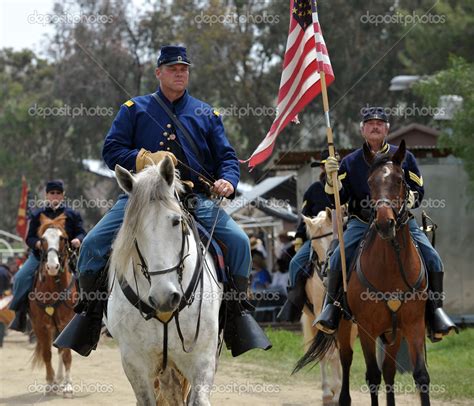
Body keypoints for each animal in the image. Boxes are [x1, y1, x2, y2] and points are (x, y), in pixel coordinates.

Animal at [28, 214, 77, 398]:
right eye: (42, 239)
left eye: (62, 238)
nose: (52, 266)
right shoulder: (40, 326)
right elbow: (47, 354)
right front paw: (50, 383)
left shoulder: (67, 324)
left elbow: (67, 354)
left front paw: (68, 385)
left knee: (62, 351)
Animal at [300, 211, 356, 404]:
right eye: (314, 246)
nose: (326, 273)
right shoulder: (320, 317)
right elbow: (327, 354)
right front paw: (333, 393)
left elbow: (343, 353)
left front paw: (340, 392)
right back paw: (328, 391)